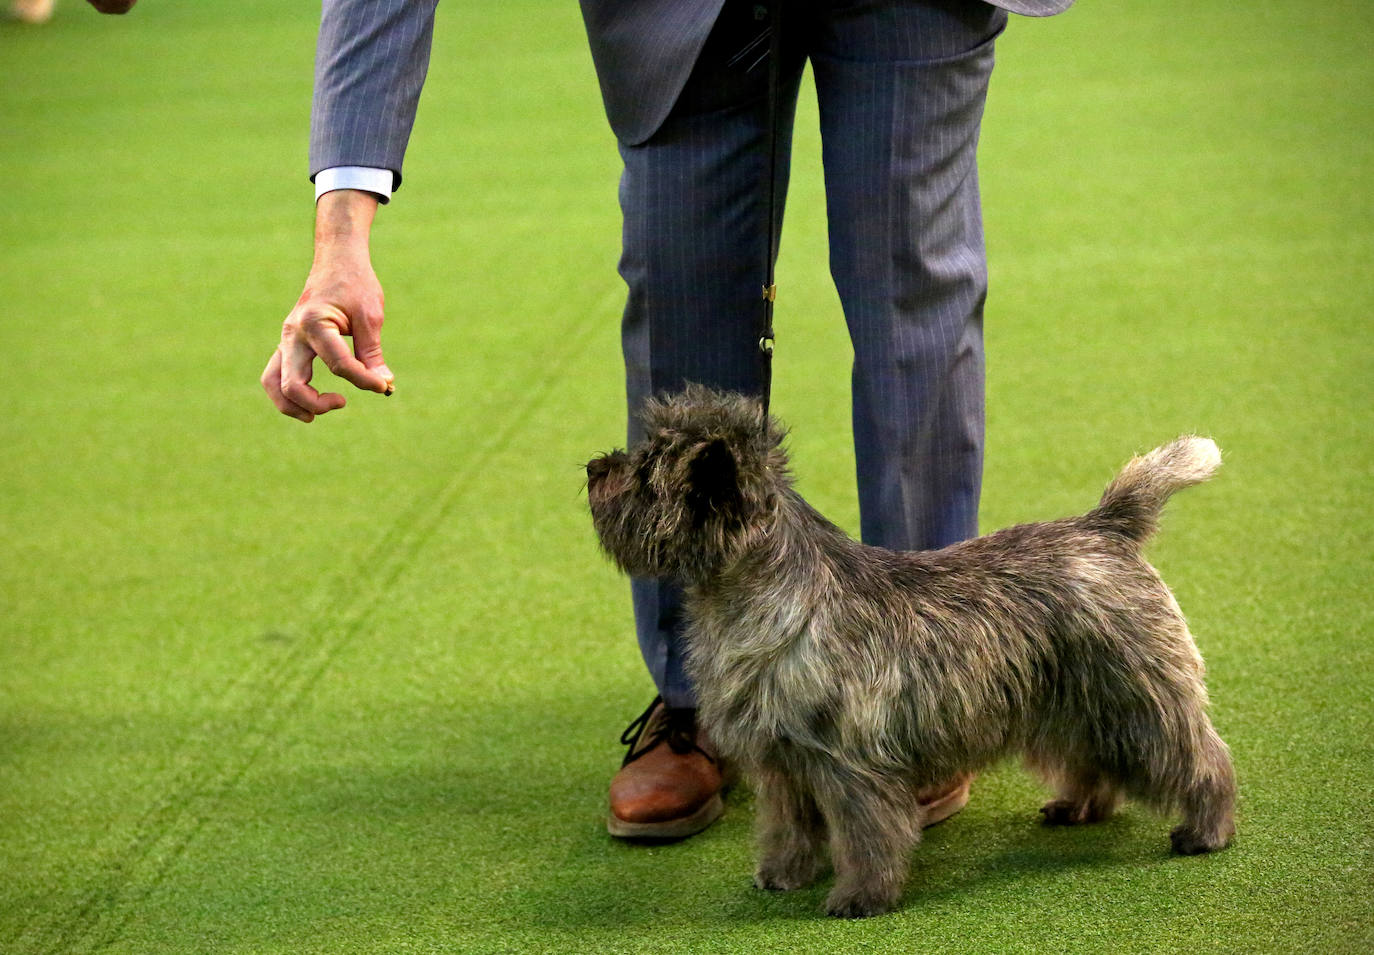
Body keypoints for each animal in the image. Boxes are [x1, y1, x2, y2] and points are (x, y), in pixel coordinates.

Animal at [579, 387, 1236, 917]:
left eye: (647, 472)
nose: (593, 466)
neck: (762, 597)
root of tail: (1105, 528)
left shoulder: (851, 768)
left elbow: (867, 839)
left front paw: (860, 898)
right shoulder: (785, 765)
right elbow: (788, 828)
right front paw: (785, 875)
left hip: (1139, 699)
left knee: (1202, 757)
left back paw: (1206, 831)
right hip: (1077, 702)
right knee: (1093, 760)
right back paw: (1078, 807)